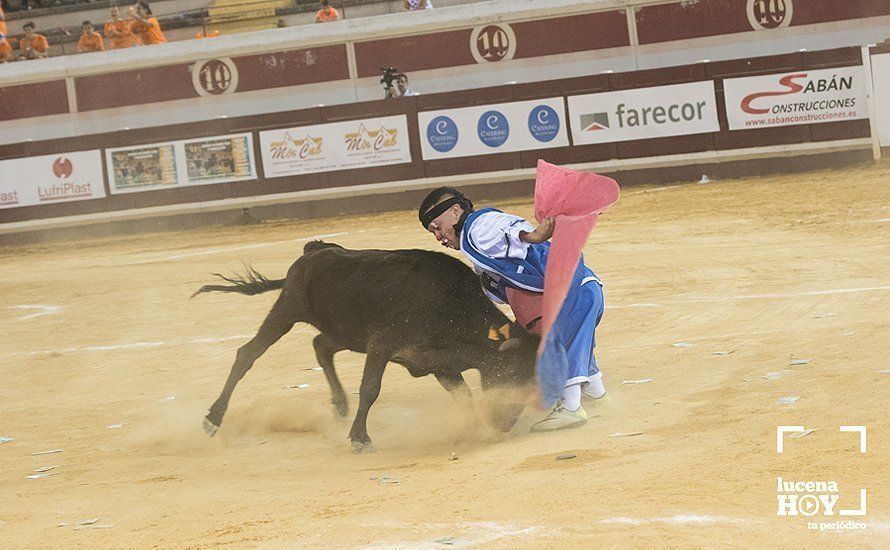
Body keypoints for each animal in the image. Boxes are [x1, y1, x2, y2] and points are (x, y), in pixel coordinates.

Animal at [193, 242, 536, 452]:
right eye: (513, 373)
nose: (506, 424)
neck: (453, 308)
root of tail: (316, 249)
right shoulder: (382, 345)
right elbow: (370, 388)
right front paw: (360, 439)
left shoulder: (439, 363)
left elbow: (463, 396)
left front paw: (475, 427)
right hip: (287, 310)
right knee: (247, 355)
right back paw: (212, 419)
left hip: (343, 332)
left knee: (320, 345)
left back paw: (340, 405)